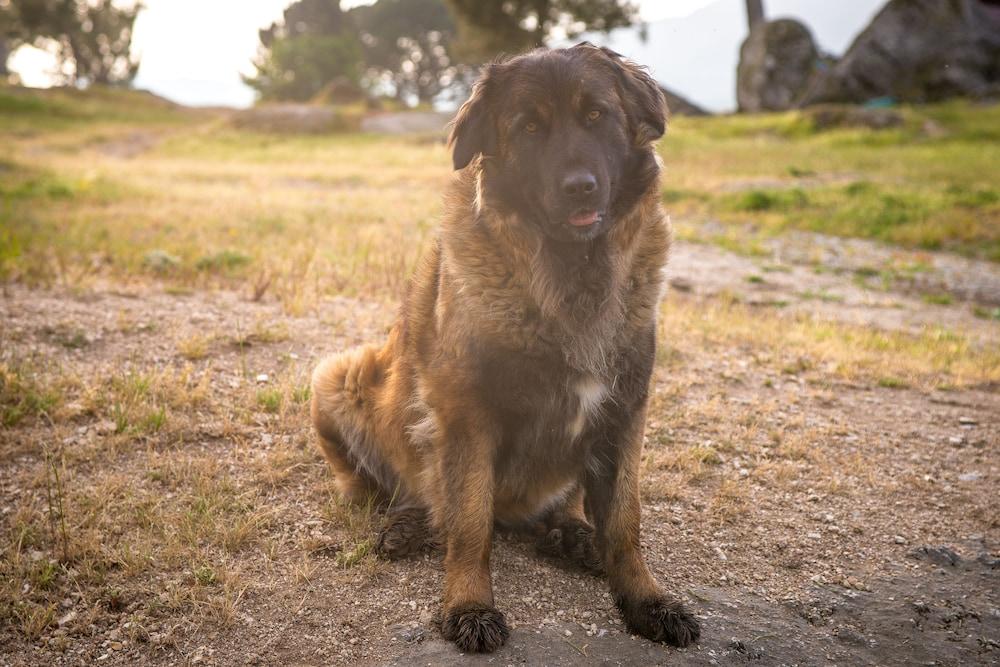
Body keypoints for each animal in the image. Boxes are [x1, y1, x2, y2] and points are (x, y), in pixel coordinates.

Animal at [308, 40, 700, 652]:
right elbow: (469, 523)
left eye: (597, 116)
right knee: (410, 491)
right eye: (530, 127)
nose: (579, 185)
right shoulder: (467, 415)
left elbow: (625, 522)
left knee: (564, 508)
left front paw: (646, 599)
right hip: (335, 376)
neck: (568, 275)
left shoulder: (625, 410)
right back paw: (410, 523)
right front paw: (468, 605)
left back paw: (572, 533)